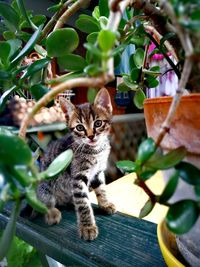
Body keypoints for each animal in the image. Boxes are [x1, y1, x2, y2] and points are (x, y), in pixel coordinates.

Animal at [36, 88, 116, 241]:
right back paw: (52, 212)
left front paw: (105, 204)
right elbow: (83, 204)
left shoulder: (98, 172)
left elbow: (101, 188)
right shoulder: (78, 177)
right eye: (80, 127)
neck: (96, 151)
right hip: (45, 185)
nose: (91, 136)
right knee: (43, 202)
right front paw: (87, 227)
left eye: (98, 123)